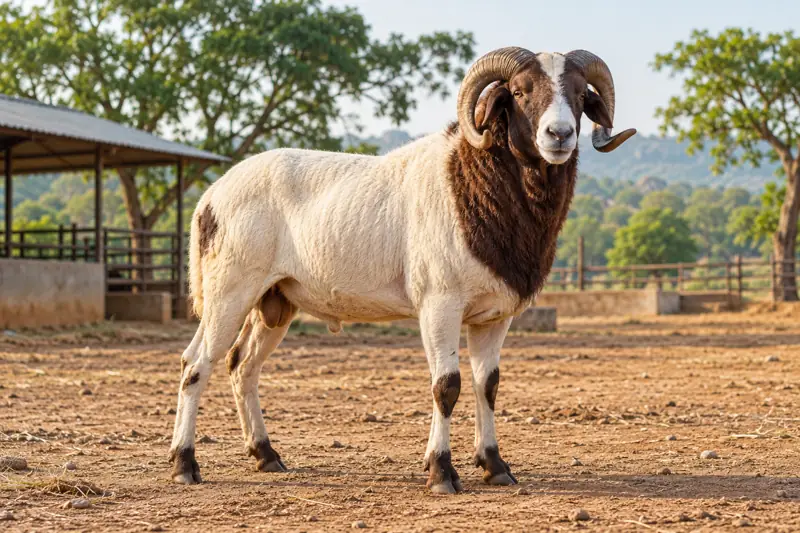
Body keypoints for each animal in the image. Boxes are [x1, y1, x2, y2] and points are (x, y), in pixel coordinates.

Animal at [168, 46, 636, 493]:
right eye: (519, 92)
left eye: (580, 96)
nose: (559, 135)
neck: (471, 182)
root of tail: (209, 197)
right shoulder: (439, 304)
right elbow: (446, 385)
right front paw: (441, 473)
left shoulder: (494, 316)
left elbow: (487, 385)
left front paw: (495, 466)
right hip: (229, 291)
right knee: (196, 363)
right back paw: (184, 464)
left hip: (275, 301)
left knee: (242, 365)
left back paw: (266, 455)